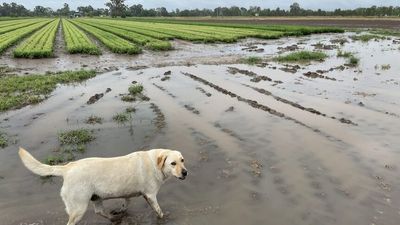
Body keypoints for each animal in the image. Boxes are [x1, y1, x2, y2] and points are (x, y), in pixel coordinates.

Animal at [18, 148, 188, 225]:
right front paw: (164, 218)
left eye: (182, 160)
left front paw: (121, 211)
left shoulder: (129, 193)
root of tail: (67, 168)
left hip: (96, 198)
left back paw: (114, 218)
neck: (155, 164)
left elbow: (126, 203)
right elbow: (159, 211)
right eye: (173, 163)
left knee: (99, 211)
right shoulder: (151, 195)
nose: (185, 172)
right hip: (79, 208)